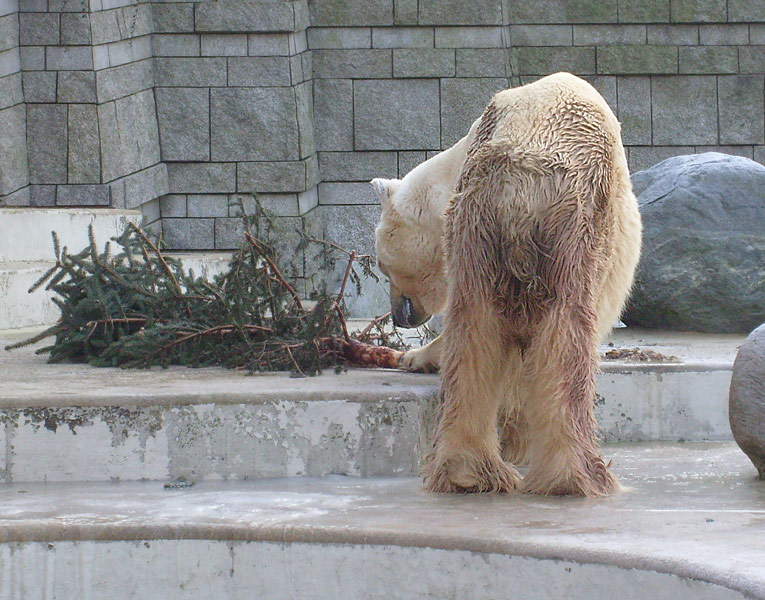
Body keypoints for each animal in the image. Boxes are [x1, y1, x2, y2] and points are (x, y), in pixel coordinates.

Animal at [374, 74, 640, 496]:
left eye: (382, 263)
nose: (397, 317)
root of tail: (520, 189)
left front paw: (412, 357)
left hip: (485, 229)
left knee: (474, 336)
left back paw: (467, 472)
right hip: (571, 231)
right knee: (565, 340)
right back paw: (575, 476)